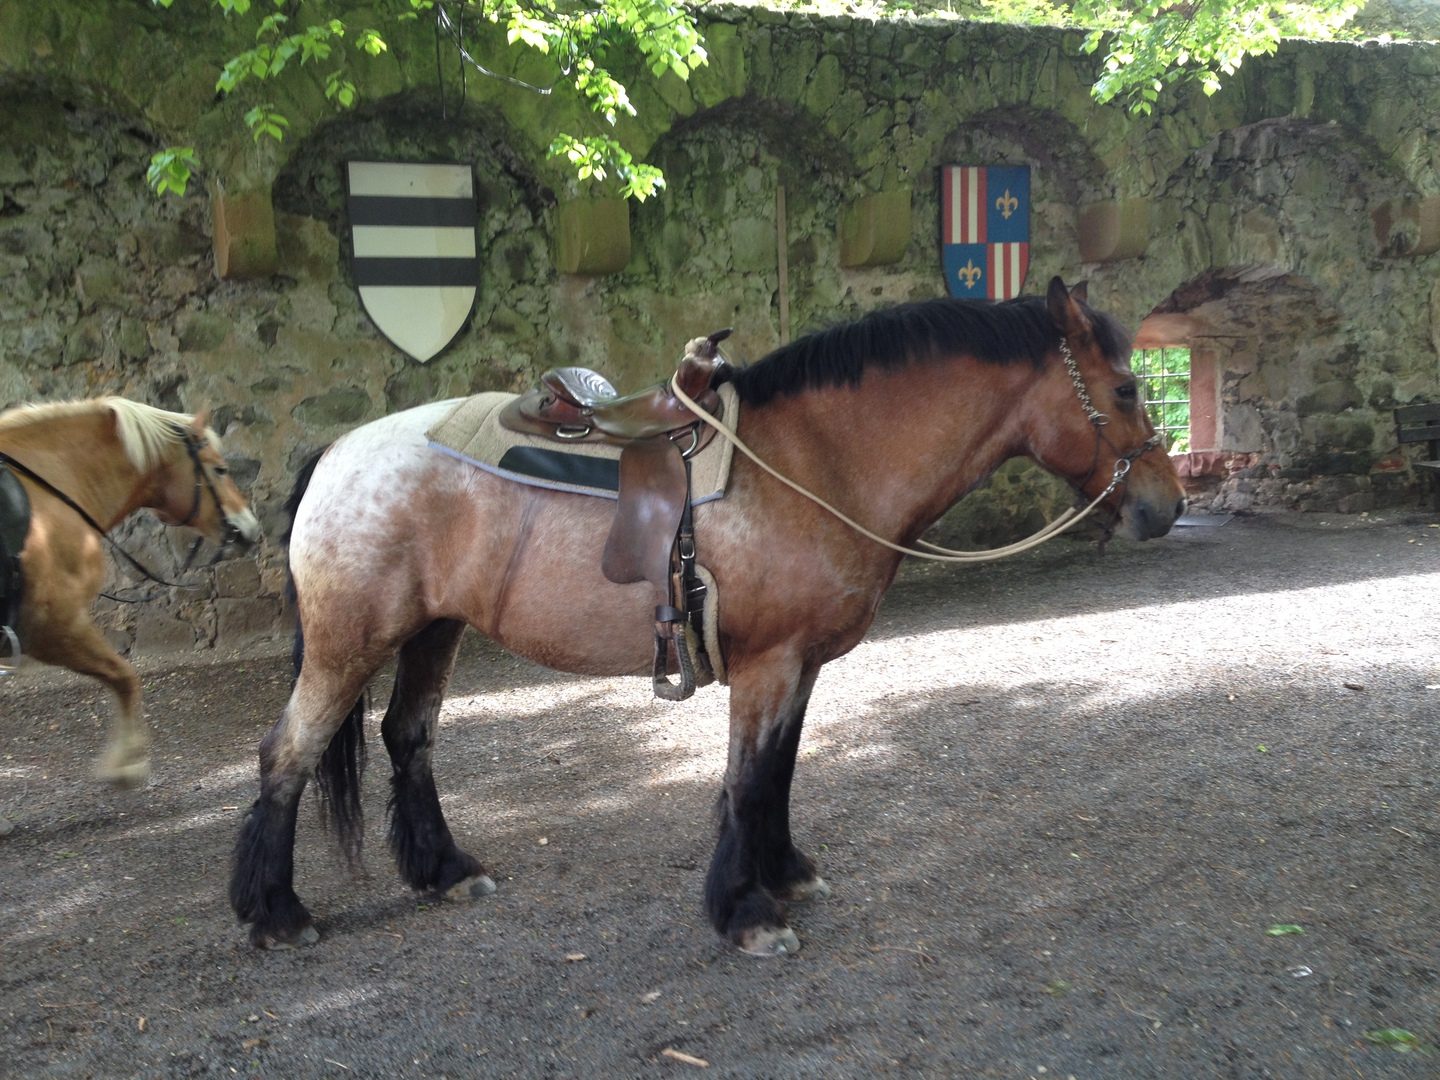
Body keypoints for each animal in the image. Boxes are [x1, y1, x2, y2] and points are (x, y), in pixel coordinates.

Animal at [231, 277, 1186, 954]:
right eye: (1126, 389)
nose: (1166, 505)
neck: (819, 457)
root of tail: (339, 451)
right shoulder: (768, 663)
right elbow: (746, 777)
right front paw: (745, 910)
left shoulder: (802, 663)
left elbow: (778, 773)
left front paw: (784, 873)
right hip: (350, 644)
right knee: (288, 753)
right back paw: (275, 913)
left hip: (434, 631)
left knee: (408, 737)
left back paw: (444, 871)